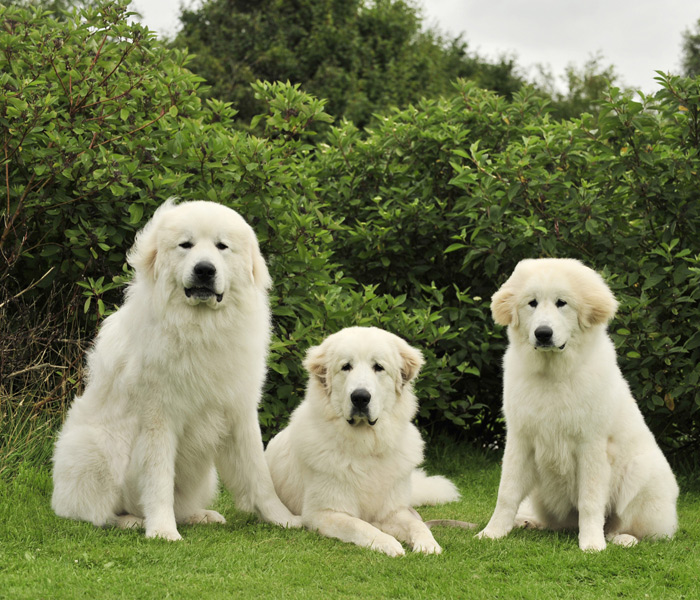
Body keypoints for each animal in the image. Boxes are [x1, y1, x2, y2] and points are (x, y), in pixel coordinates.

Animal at [50, 199, 300, 540]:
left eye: (222, 246)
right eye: (186, 245)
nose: (204, 269)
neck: (201, 327)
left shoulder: (240, 412)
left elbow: (259, 476)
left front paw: (282, 518)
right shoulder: (159, 417)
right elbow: (158, 480)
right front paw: (162, 532)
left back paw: (199, 515)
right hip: (96, 451)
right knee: (97, 513)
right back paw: (131, 521)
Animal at [266, 328, 462, 556]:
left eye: (378, 367)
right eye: (346, 367)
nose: (360, 397)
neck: (366, 445)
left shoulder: (392, 510)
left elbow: (417, 524)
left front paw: (428, 544)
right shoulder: (323, 513)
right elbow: (359, 525)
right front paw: (388, 543)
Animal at [476, 260, 680, 552]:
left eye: (562, 303)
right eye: (532, 303)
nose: (543, 333)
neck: (553, 375)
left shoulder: (591, 446)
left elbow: (591, 501)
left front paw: (592, 544)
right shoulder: (520, 439)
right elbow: (507, 493)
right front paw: (492, 533)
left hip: (642, 472)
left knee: (624, 524)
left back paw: (622, 538)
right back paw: (528, 522)